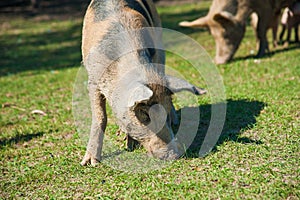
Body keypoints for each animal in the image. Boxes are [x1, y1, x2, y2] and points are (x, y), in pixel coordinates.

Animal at [79, 0, 206, 166]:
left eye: (164, 113)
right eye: (145, 114)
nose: (174, 155)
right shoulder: (93, 80)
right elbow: (100, 117)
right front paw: (90, 163)